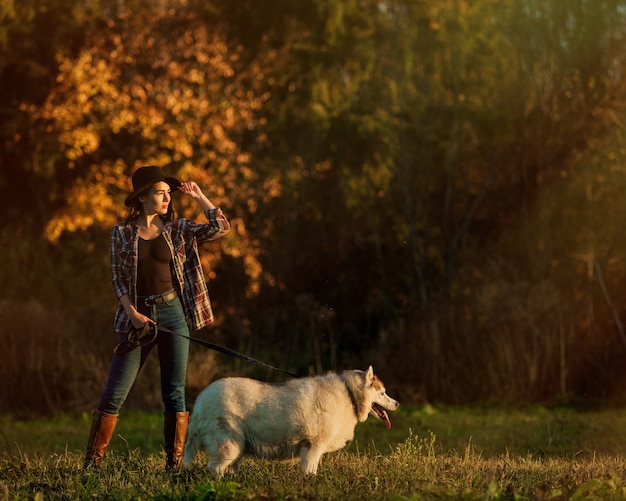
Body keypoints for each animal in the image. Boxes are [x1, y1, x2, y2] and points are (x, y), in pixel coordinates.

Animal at [183, 366, 398, 474]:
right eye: (383, 393)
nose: (397, 404)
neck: (349, 394)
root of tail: (201, 399)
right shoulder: (313, 447)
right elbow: (310, 472)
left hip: (237, 447)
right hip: (228, 445)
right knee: (215, 468)